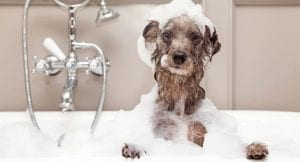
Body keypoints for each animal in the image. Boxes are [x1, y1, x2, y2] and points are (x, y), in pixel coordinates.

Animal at [122, 14, 270, 161]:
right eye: (167, 34)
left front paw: (251, 148)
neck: (179, 89)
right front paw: (136, 146)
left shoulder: (201, 127)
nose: (179, 56)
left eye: (195, 37)